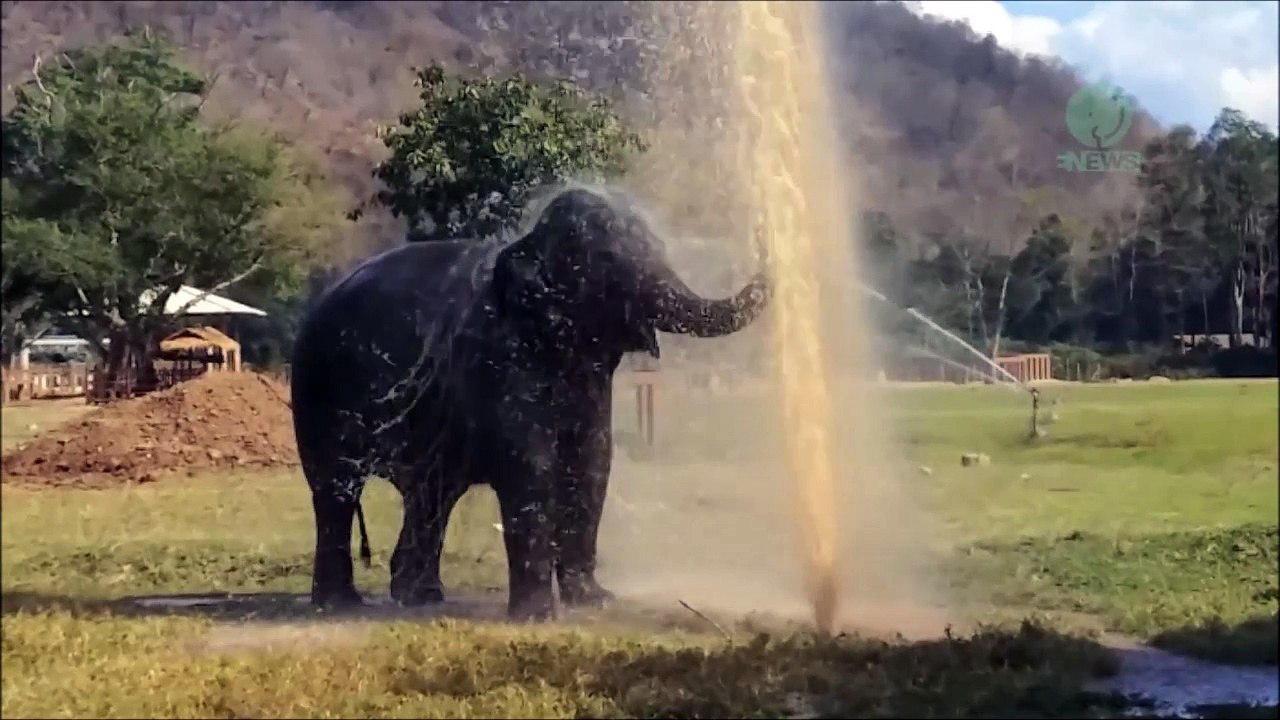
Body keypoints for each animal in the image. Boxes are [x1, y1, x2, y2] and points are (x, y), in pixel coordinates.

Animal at [290, 187, 772, 621]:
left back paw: (420, 597)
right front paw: (539, 616)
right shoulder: (503, 361)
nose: (763, 233)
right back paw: (341, 604)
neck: (526, 246)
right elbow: (530, 466)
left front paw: (596, 602)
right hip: (317, 393)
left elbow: (593, 462)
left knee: (432, 494)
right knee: (337, 490)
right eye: (609, 259)